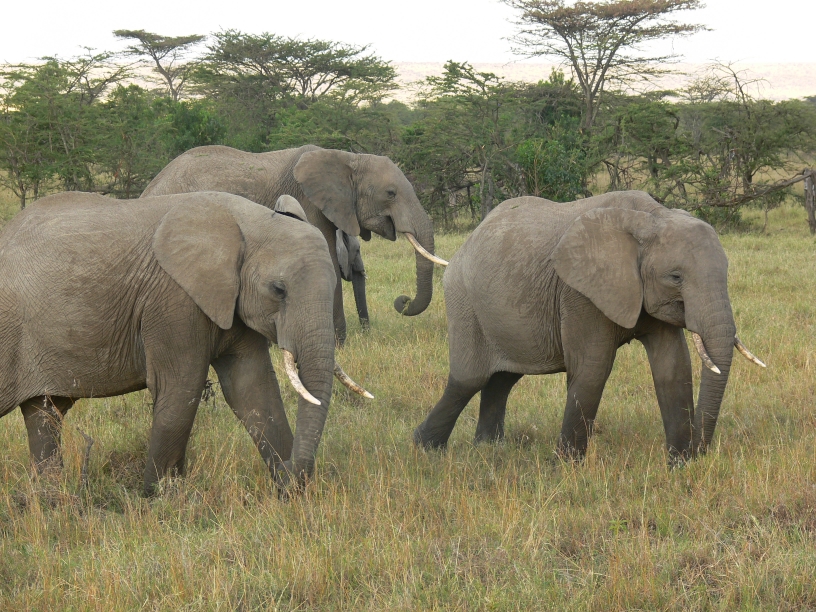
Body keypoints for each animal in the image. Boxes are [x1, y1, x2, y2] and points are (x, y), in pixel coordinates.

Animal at [0, 190, 371, 495]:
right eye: (278, 290)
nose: (298, 474)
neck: (245, 223)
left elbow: (252, 388)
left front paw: (289, 493)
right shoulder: (173, 301)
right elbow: (181, 388)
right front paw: (159, 498)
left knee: (44, 413)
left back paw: (49, 499)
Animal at [141, 145, 448, 345]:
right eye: (391, 193)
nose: (402, 300)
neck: (347, 158)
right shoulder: (308, 202)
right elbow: (327, 264)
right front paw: (338, 344)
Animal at [413, 191, 765, 464]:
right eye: (676, 277)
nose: (700, 450)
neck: (651, 218)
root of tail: (468, 241)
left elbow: (673, 367)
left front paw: (679, 466)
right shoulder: (579, 292)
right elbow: (592, 368)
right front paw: (566, 467)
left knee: (503, 379)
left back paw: (488, 448)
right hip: (464, 301)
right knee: (468, 380)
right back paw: (425, 447)